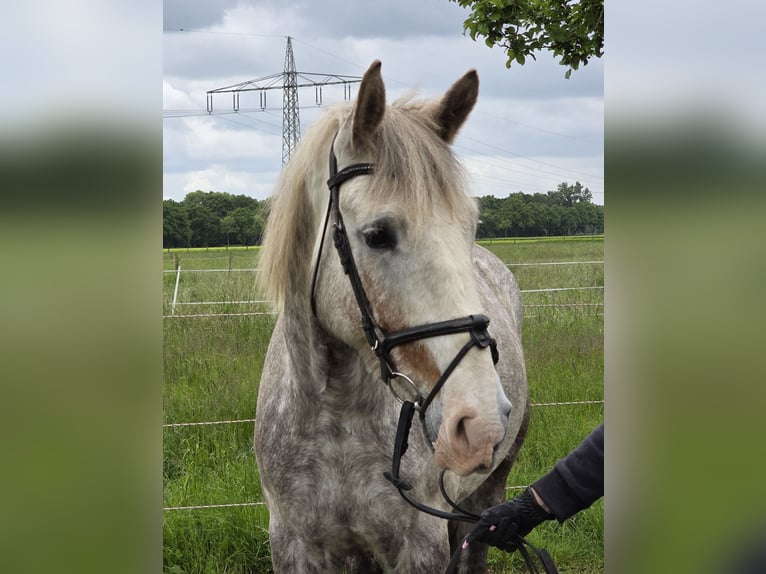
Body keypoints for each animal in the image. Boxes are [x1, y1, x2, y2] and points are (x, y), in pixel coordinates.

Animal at [255, 60, 529, 573]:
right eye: (378, 234)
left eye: (469, 226)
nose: (479, 420)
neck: (336, 417)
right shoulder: (295, 545)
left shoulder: (419, 546)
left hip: (487, 495)